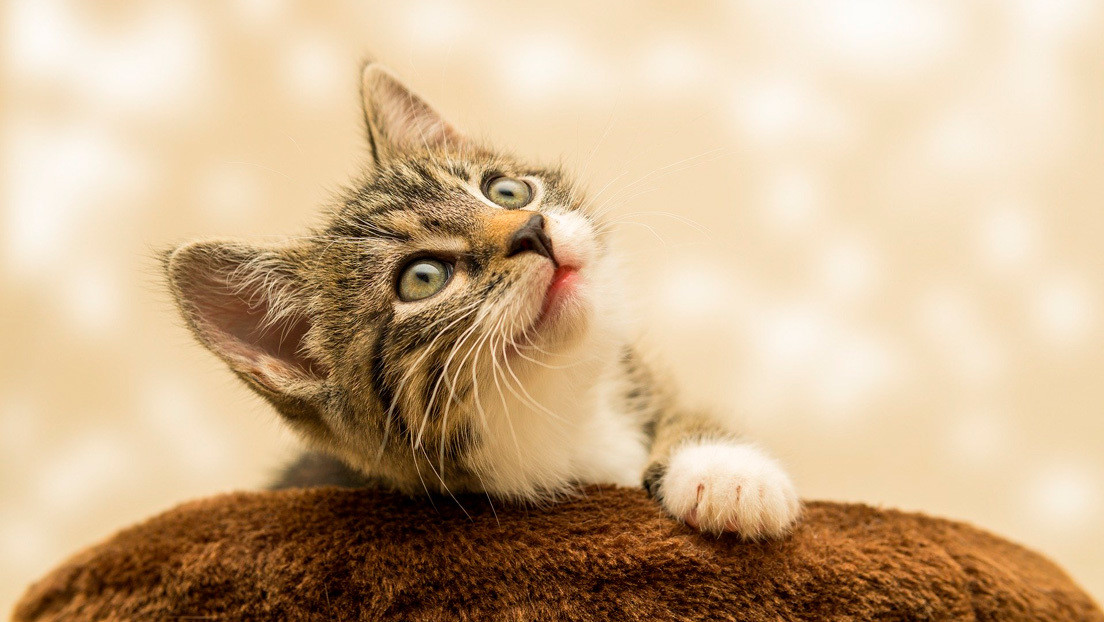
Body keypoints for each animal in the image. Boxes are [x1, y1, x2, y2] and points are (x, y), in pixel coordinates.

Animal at [163, 64, 799, 541]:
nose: (533, 230)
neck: (566, 417)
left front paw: (726, 471)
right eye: (422, 277)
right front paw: (728, 481)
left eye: (506, 191)